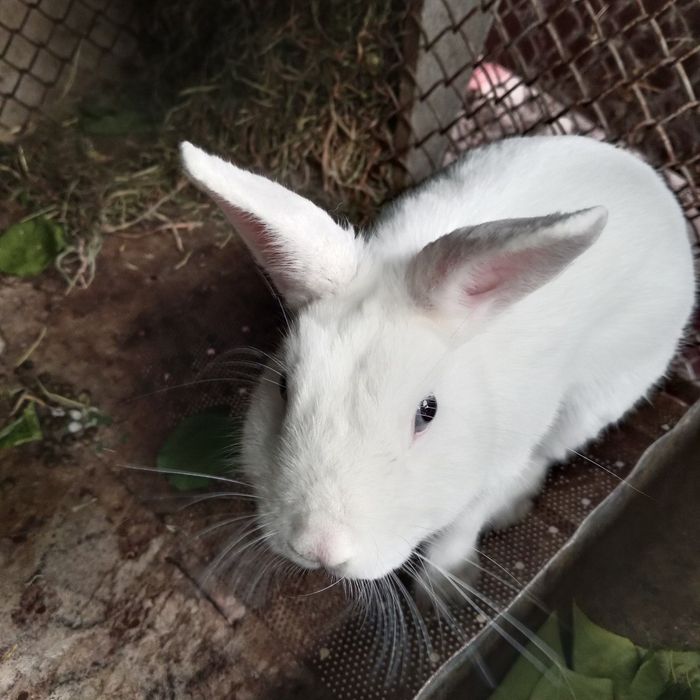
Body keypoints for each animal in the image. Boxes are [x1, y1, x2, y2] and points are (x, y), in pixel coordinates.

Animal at [180, 135, 696, 603]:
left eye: (427, 412)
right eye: (283, 386)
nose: (319, 547)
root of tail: (635, 165)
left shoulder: (495, 470)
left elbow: (462, 527)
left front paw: (444, 589)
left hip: (600, 397)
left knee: (552, 451)